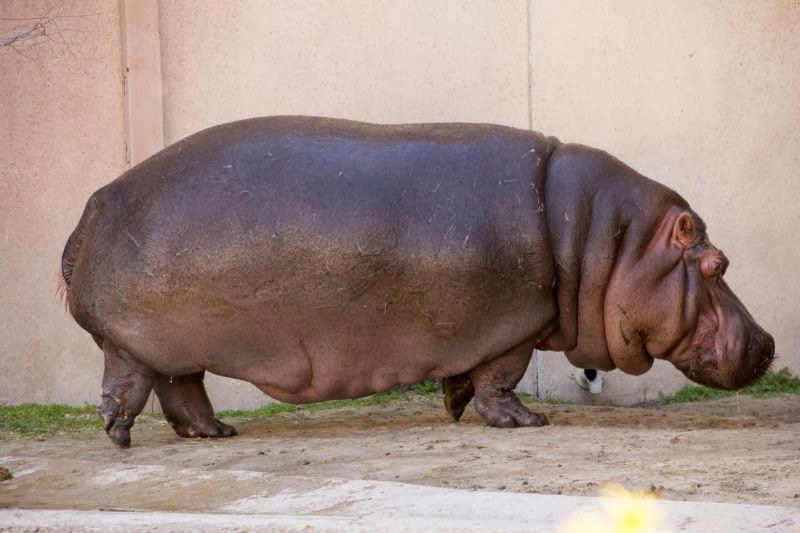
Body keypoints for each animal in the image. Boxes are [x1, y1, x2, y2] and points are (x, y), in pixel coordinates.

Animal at [60, 116, 774, 447]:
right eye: (718, 265)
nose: (769, 344)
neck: (606, 237)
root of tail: (93, 204)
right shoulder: (516, 323)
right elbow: (501, 377)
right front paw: (527, 421)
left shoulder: (484, 330)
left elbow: (466, 375)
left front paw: (455, 407)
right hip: (135, 342)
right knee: (126, 384)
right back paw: (120, 436)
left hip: (175, 346)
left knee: (183, 391)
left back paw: (216, 435)